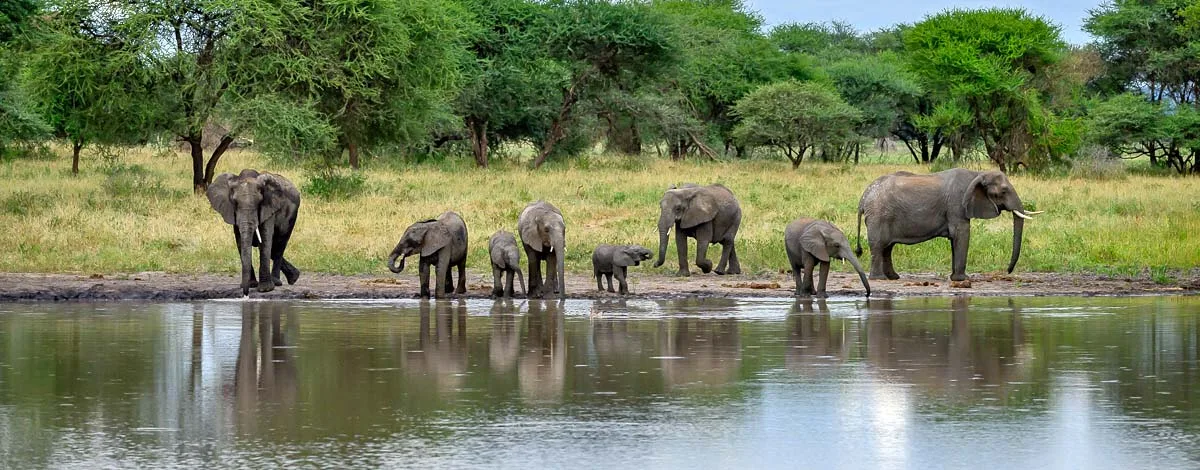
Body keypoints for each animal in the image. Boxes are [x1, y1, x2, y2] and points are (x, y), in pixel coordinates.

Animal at [855, 168, 1042, 282]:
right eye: (1003, 191)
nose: (1008, 271)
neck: (977, 174)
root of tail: (863, 197)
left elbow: (955, 240)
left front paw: (955, 278)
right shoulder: (957, 205)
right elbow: (962, 233)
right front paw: (963, 280)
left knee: (887, 247)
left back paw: (893, 277)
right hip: (879, 215)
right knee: (879, 245)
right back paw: (879, 279)